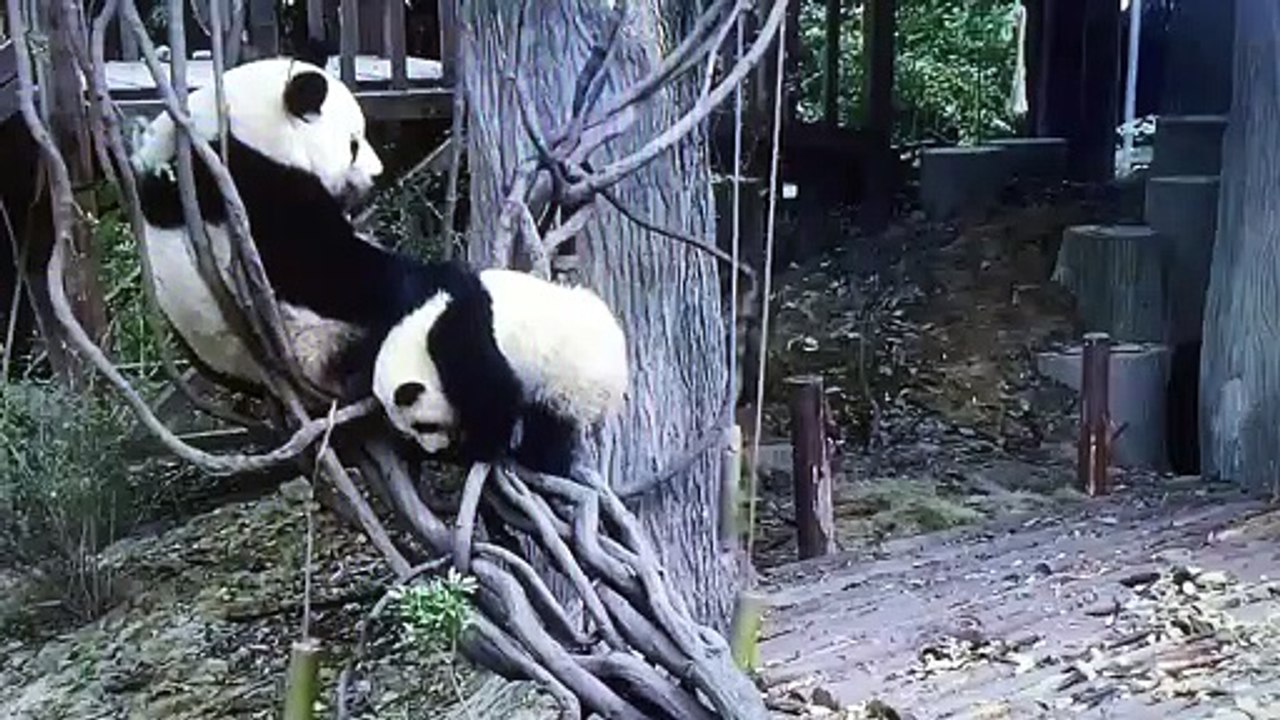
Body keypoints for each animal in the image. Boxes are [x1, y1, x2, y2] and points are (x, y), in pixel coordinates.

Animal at [131, 57, 459, 405]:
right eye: (353, 145)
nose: (377, 173)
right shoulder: (249, 186)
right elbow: (321, 266)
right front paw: (436, 275)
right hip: (323, 340)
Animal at [371, 267, 630, 477]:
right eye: (412, 430)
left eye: (425, 425)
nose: (435, 448)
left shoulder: (459, 339)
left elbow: (493, 394)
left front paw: (474, 449)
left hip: (569, 377)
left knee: (551, 421)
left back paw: (536, 460)